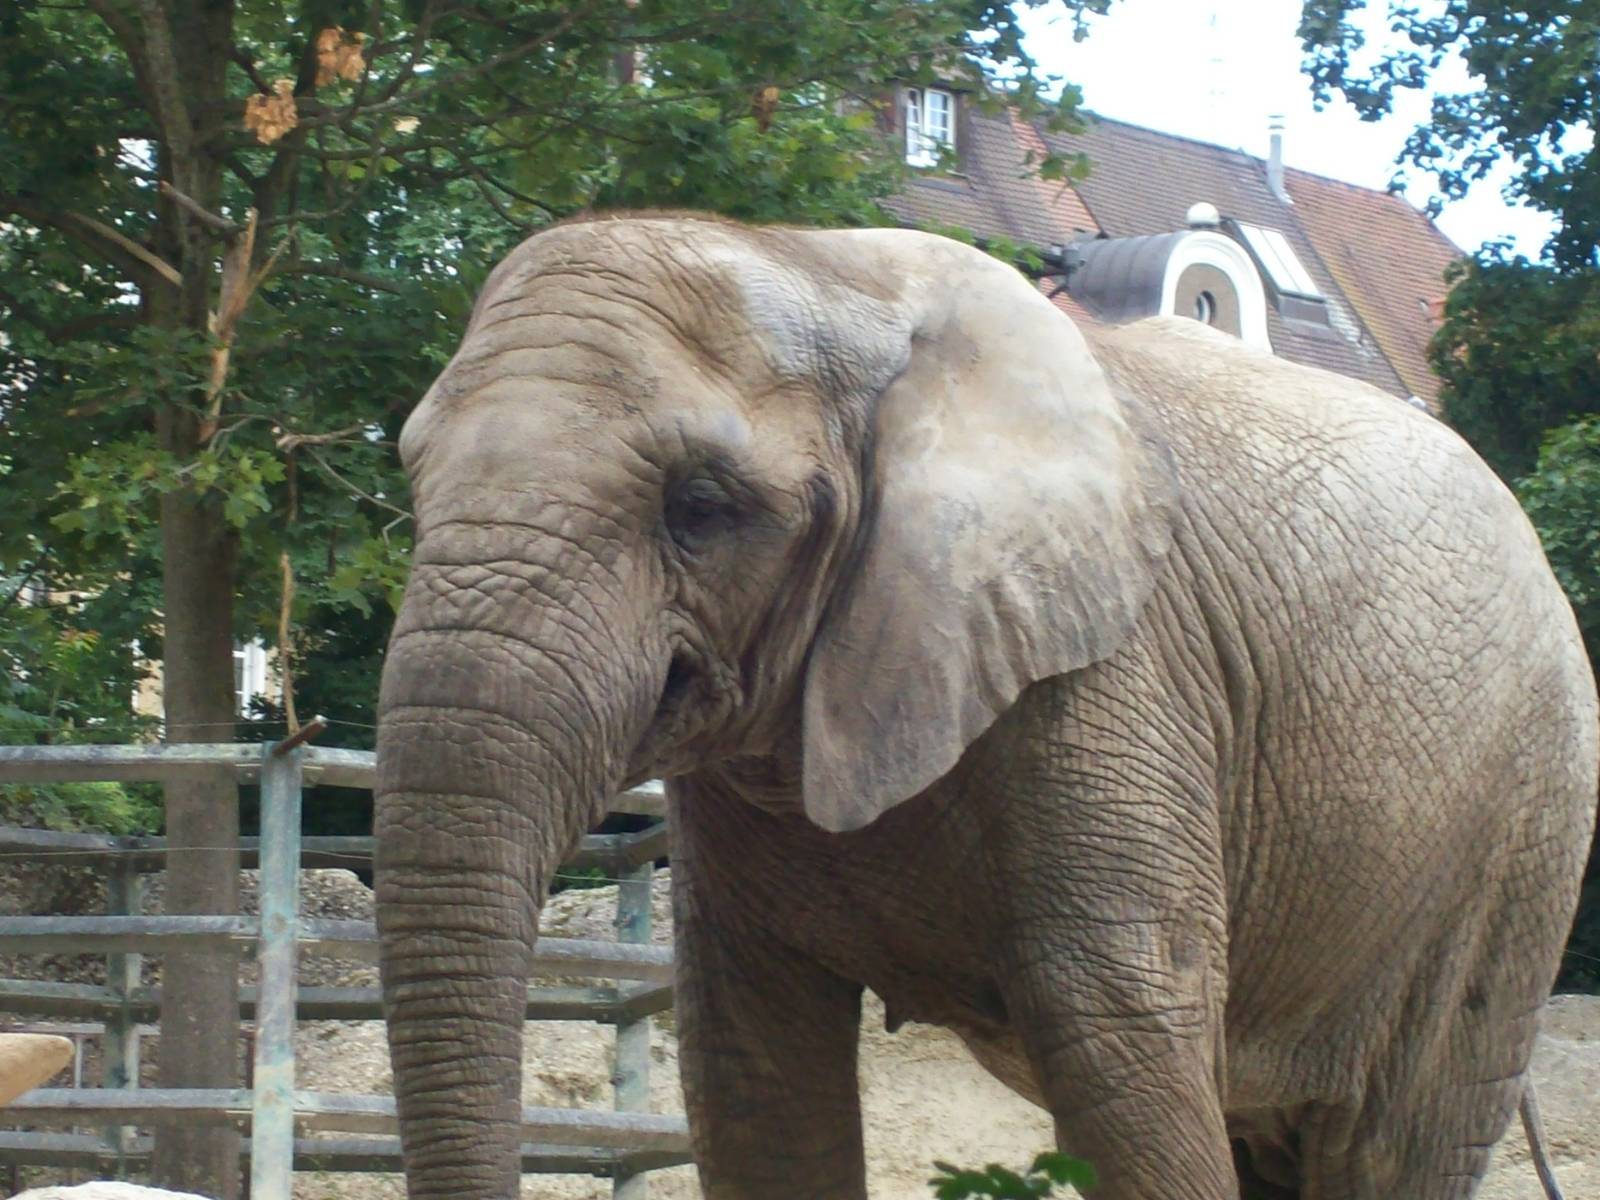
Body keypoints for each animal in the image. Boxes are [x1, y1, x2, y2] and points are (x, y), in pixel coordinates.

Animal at [373, 213, 1598, 1200]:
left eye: (702, 508)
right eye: (415, 481)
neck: (826, 269)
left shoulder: (1116, 671)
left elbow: (1122, 1043)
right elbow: (753, 1069)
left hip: (1520, 830)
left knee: (1396, 1139)